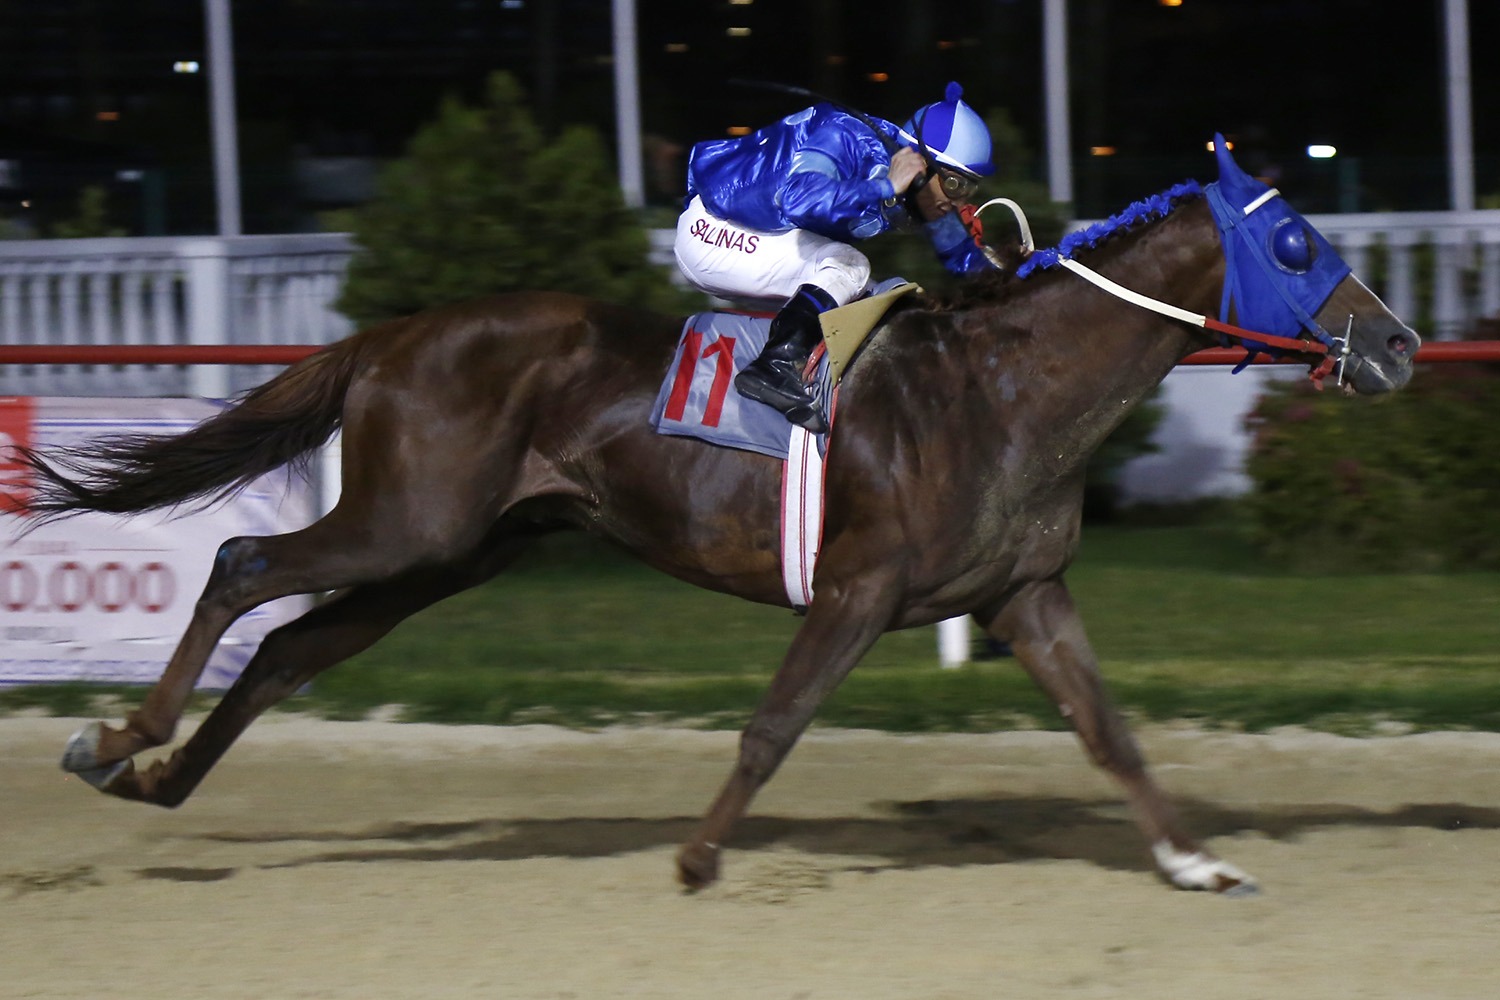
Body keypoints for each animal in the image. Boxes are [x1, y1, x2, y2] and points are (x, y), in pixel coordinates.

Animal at [14, 140, 1418, 895]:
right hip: (408, 521)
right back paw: (120, 736)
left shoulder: (1025, 593)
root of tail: (394, 335)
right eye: (1296, 245)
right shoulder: (860, 587)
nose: (1401, 345)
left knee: (299, 642)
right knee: (245, 562)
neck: (1006, 390)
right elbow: (774, 724)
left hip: (456, 549)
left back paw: (158, 776)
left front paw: (1194, 861)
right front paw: (694, 856)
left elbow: (1110, 732)